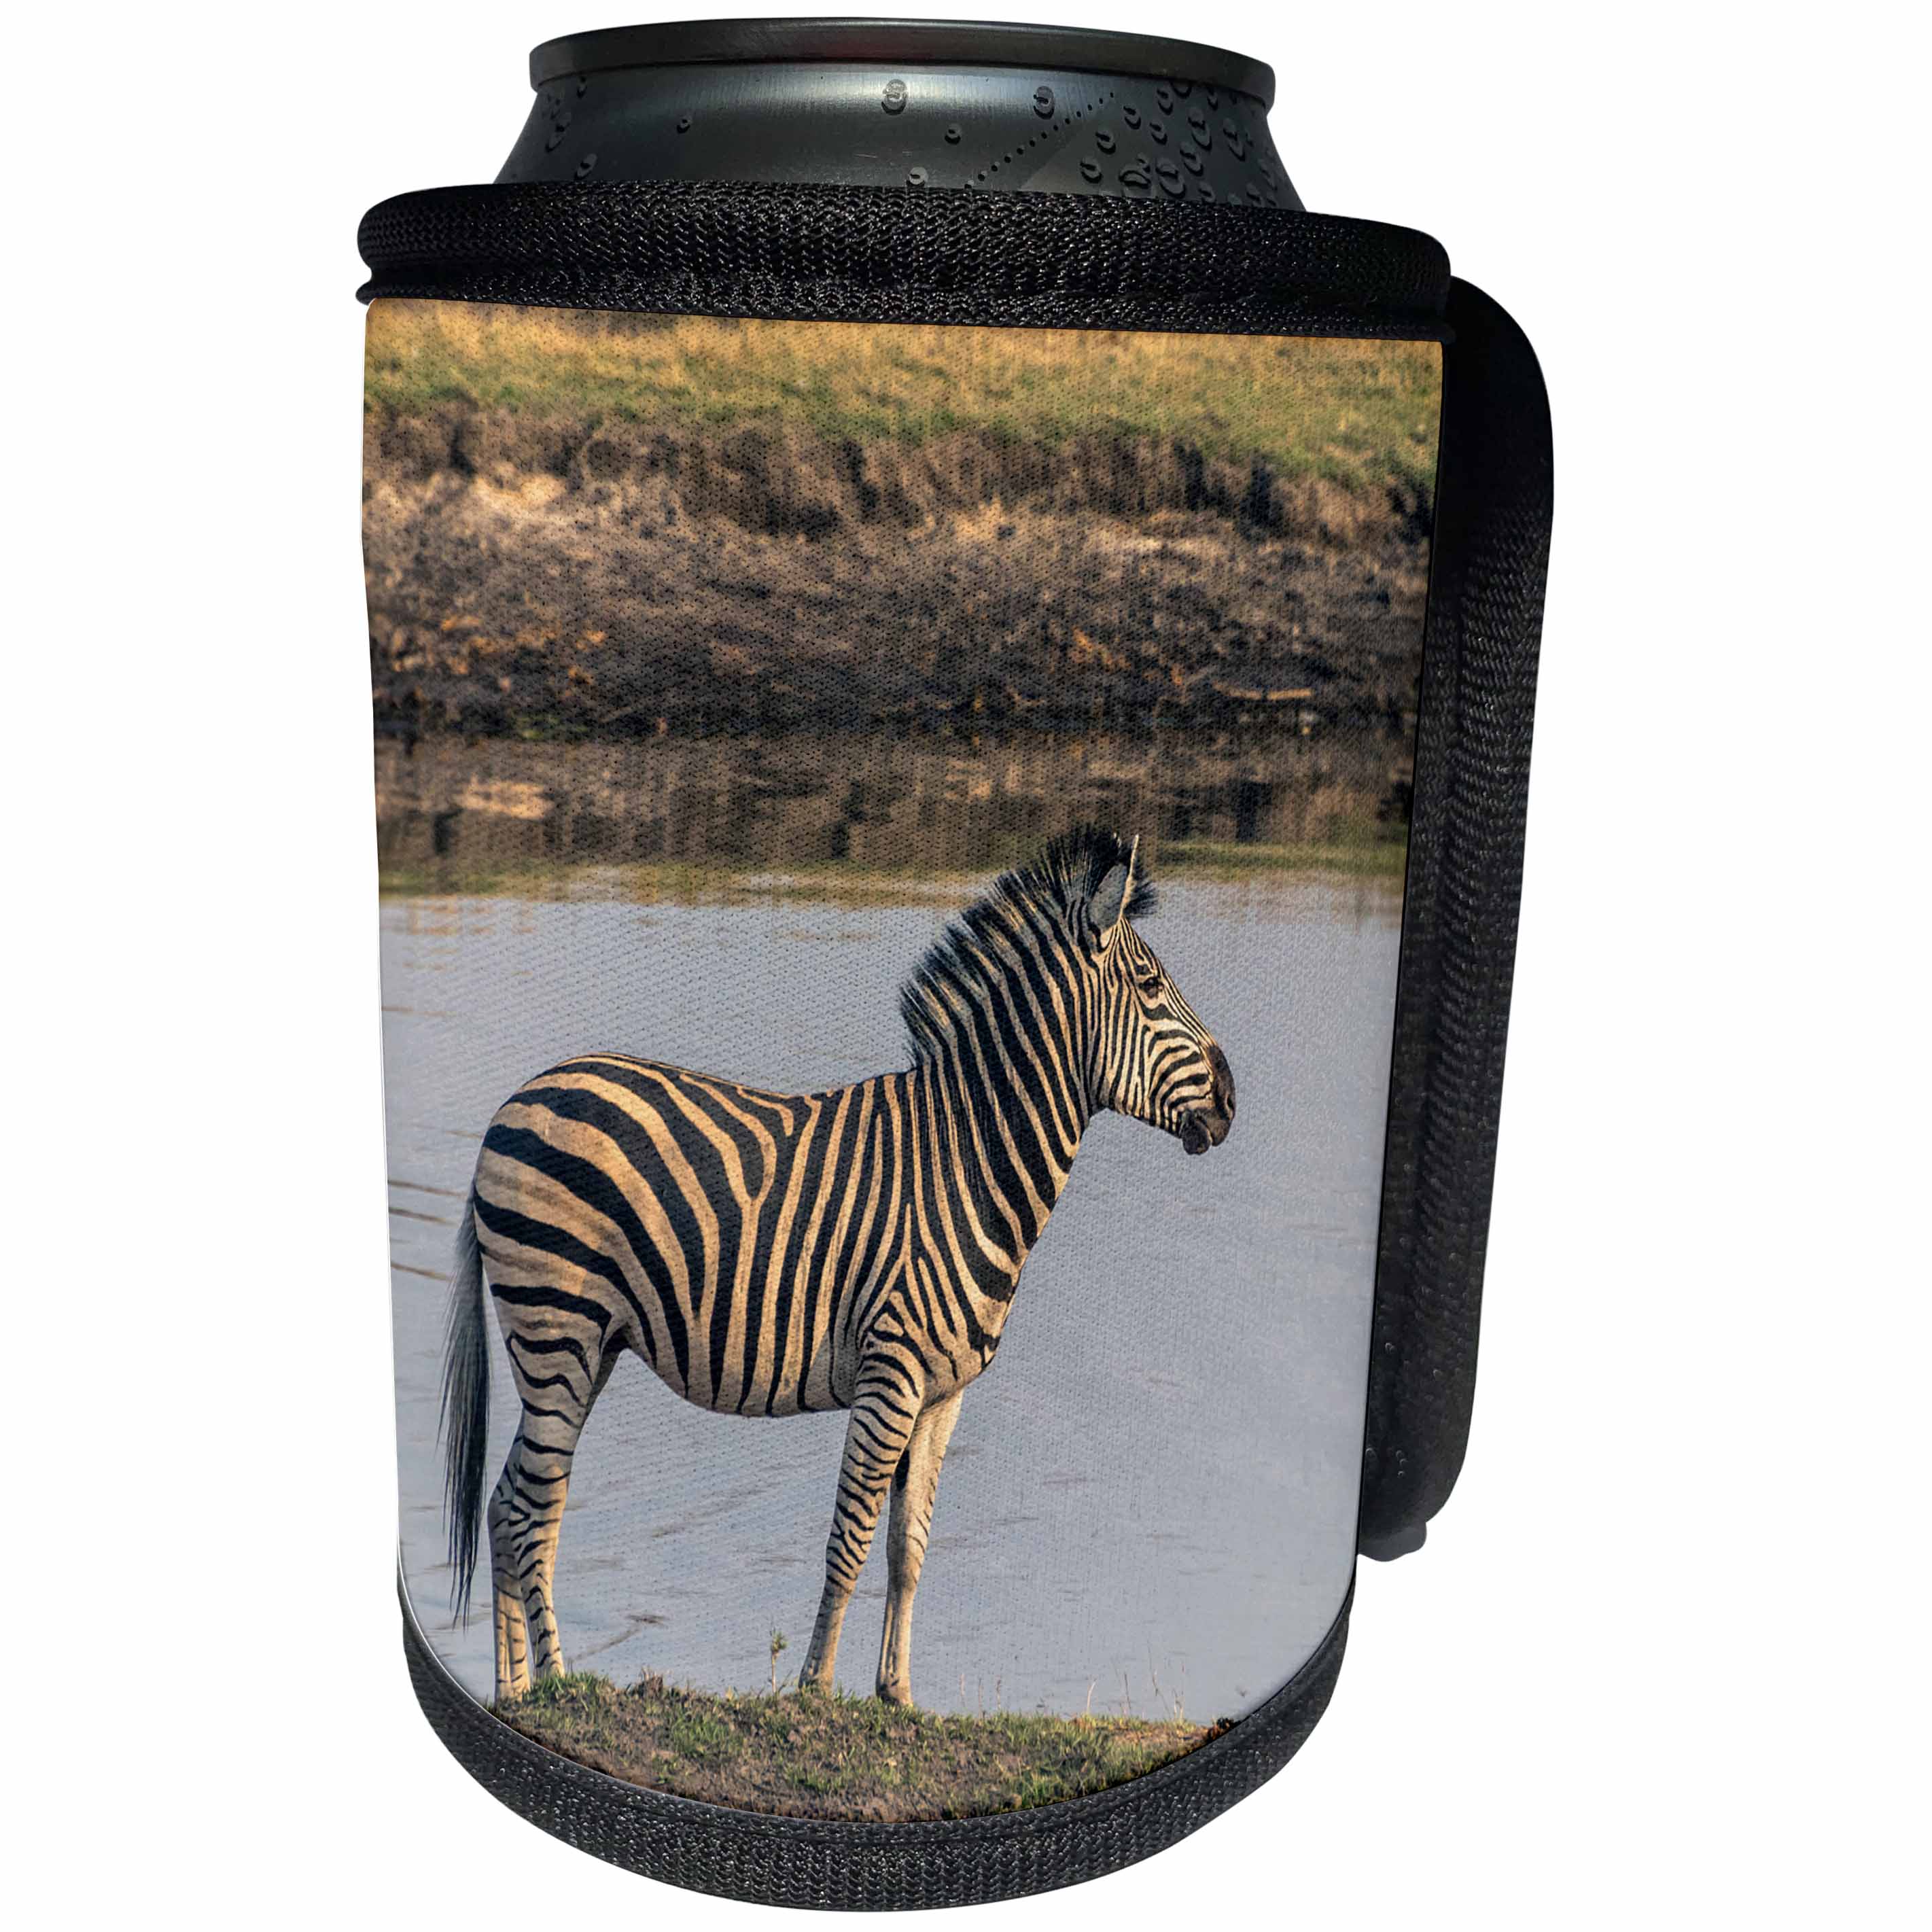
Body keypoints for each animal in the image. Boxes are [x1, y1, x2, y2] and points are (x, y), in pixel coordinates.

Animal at [440, 826, 1236, 1707]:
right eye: (1150, 983)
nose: (1233, 1097)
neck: (966, 1161)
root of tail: (514, 1101)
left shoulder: (942, 1392)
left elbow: (908, 1546)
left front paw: (898, 1695)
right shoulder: (891, 1372)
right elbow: (848, 1539)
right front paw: (817, 1688)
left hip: (583, 1340)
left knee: (507, 1498)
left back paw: (517, 1693)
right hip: (558, 1322)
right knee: (530, 1507)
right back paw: (559, 1684)